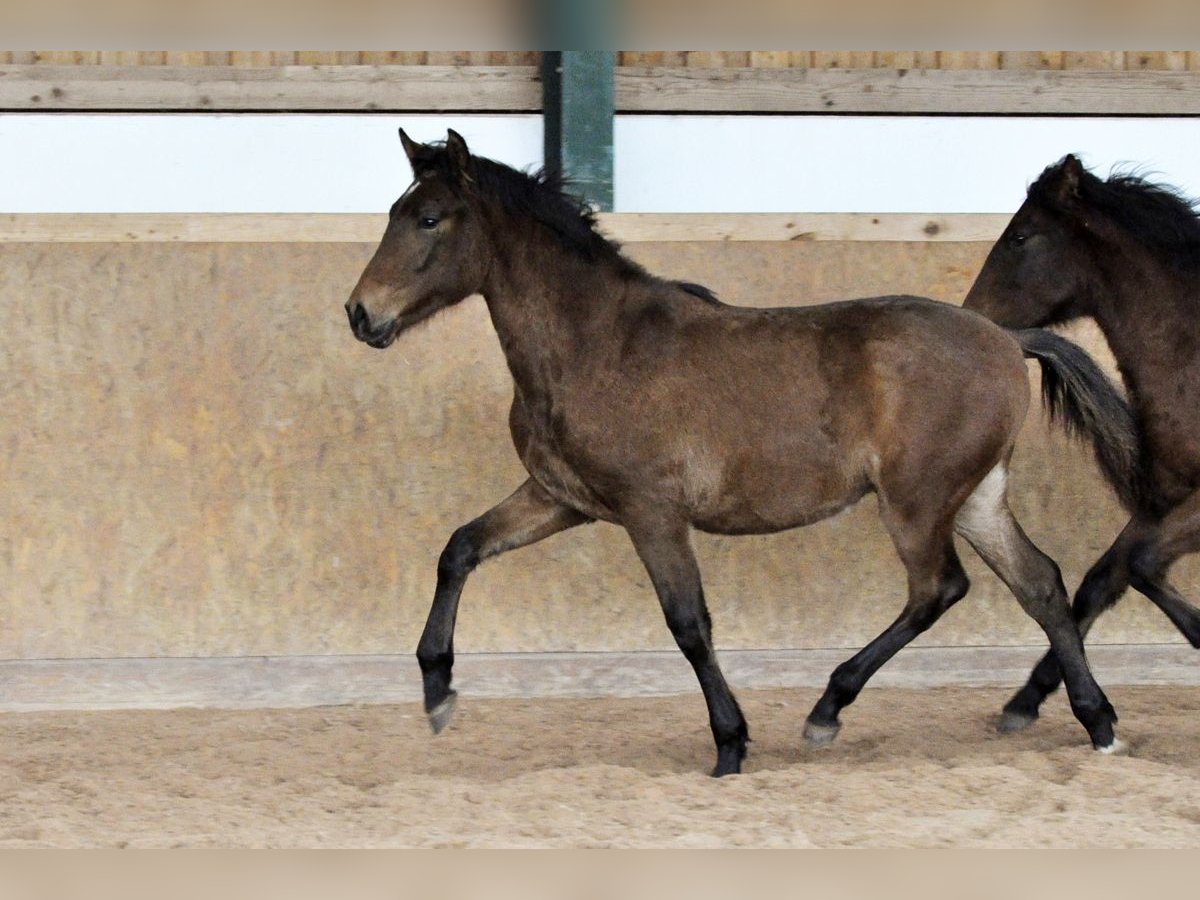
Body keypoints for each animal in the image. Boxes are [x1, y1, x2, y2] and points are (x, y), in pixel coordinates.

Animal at [345, 130, 1123, 777]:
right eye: (395, 211)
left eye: (429, 219)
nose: (361, 314)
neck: (595, 345)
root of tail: (1008, 339)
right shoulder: (561, 498)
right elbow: (459, 549)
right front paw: (437, 690)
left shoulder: (651, 512)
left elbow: (690, 625)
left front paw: (730, 745)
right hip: (975, 498)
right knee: (1041, 584)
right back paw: (1096, 724)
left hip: (918, 502)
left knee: (939, 589)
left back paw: (827, 712)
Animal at [960, 153, 1200, 734]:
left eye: (1021, 236)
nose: (974, 318)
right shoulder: (1167, 501)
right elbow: (1105, 577)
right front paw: (1027, 703)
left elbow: (1139, 566)